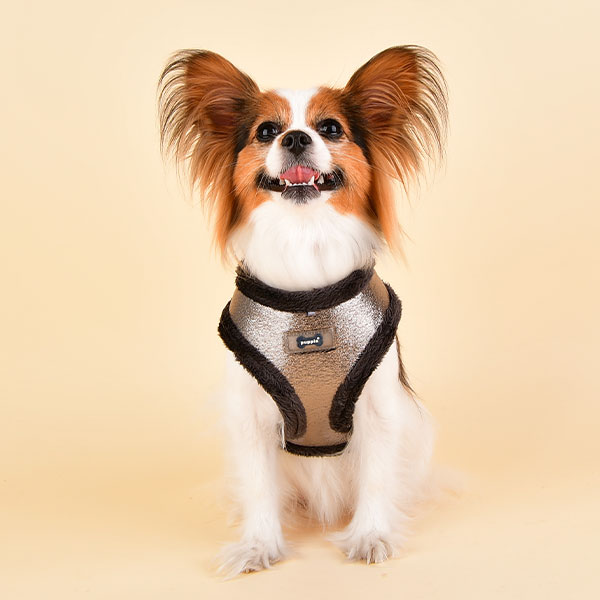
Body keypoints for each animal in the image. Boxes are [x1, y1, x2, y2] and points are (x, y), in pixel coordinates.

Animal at [158, 46, 447, 577]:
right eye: (266, 131)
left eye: (330, 128)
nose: (295, 137)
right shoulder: (251, 415)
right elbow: (257, 487)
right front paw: (257, 546)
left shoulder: (379, 409)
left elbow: (378, 478)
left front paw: (371, 536)